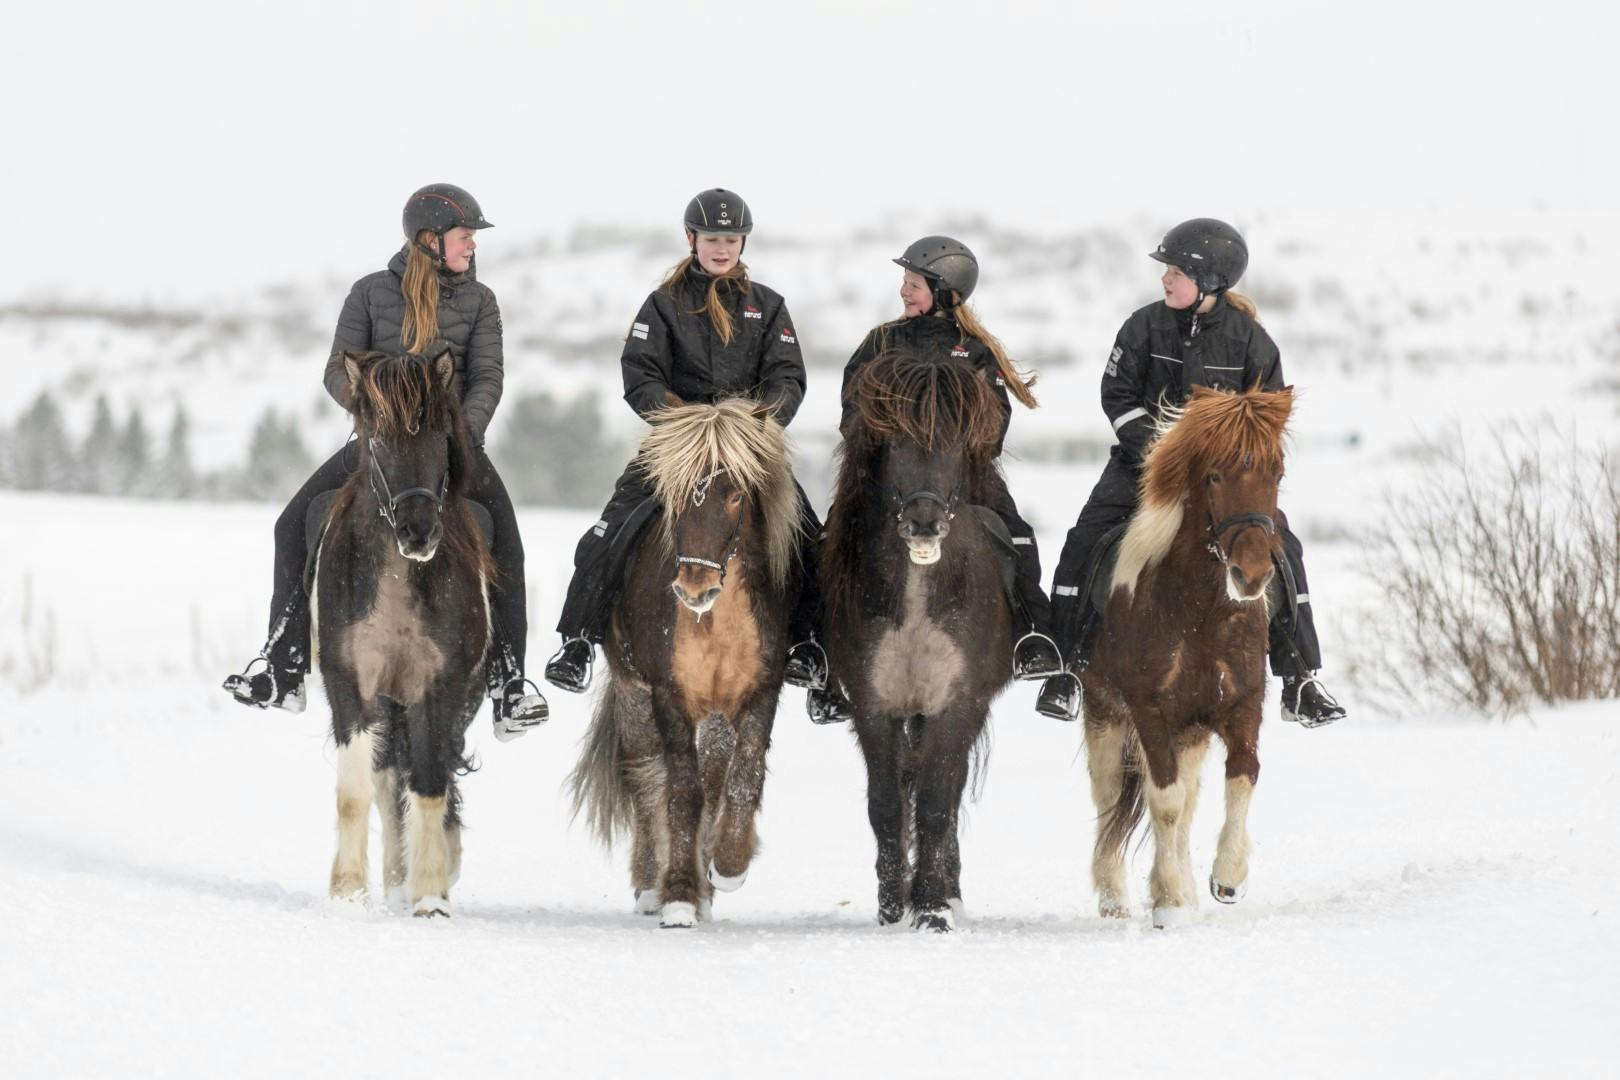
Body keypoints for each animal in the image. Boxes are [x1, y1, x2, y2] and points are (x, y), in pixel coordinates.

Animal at [314, 351, 492, 919]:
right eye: (376, 442)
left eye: (441, 438)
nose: (419, 532)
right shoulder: (348, 681)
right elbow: (354, 790)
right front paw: (347, 890)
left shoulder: (440, 684)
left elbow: (431, 781)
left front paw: (431, 893)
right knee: (388, 775)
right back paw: (392, 881)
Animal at [567, 401, 800, 926]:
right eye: (675, 495)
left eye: (735, 495)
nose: (694, 588)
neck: (713, 618)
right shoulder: (668, 695)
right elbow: (680, 793)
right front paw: (677, 895)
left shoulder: (760, 691)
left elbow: (742, 778)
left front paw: (727, 865)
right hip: (634, 695)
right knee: (648, 780)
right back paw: (651, 886)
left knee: (712, 779)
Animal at [822, 352, 1010, 932]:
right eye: (894, 440)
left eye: (956, 440)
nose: (924, 520)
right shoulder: (874, 703)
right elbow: (886, 803)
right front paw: (891, 905)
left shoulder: (956, 703)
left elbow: (934, 803)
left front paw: (930, 907)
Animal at [1082, 386, 1296, 932]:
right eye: (1215, 475)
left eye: (1276, 473)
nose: (1252, 575)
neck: (1201, 612)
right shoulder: (1149, 713)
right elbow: (1164, 803)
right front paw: (1170, 903)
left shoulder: (1241, 706)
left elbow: (1242, 778)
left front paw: (1226, 877)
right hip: (1105, 716)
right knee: (1110, 801)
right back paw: (1115, 900)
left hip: (1192, 731)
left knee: (1189, 800)